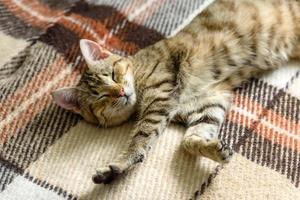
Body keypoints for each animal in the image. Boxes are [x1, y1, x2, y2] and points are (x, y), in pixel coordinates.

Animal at [51, 0, 300, 184]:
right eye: (101, 97)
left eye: (113, 75)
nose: (121, 91)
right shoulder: (209, 102)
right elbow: (190, 140)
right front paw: (211, 149)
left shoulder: (160, 101)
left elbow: (140, 139)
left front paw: (119, 165)